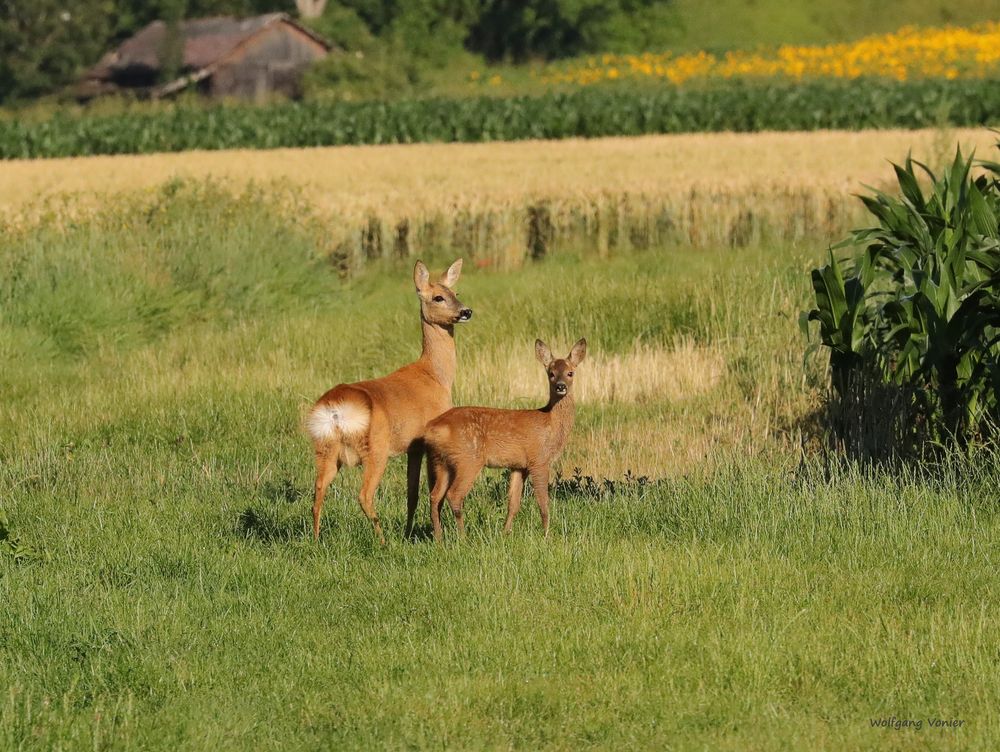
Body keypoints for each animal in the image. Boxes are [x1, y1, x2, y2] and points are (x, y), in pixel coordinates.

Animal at [304, 258, 472, 540]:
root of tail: (336, 410)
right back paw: (383, 540)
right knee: (364, 495)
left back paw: (316, 541)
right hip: (376, 448)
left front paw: (408, 533)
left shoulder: (413, 446)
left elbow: (412, 494)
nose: (466, 311)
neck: (435, 375)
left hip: (325, 448)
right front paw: (425, 534)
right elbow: (427, 492)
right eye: (438, 297)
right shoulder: (426, 441)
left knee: (317, 492)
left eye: (456, 292)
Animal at [422, 336, 584, 540]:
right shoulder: (539, 460)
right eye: (551, 373)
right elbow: (543, 503)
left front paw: (505, 533)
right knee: (454, 495)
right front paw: (547, 535)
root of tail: (434, 427)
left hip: (441, 462)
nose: (561, 386)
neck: (550, 424)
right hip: (468, 459)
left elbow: (513, 503)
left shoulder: (519, 466)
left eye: (570, 373)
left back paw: (438, 538)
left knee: (435, 496)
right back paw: (463, 537)